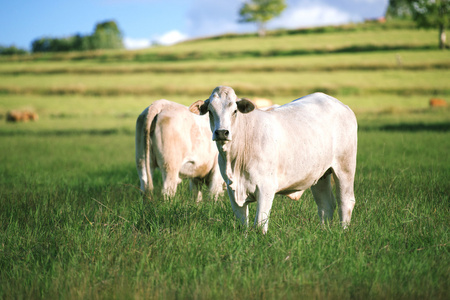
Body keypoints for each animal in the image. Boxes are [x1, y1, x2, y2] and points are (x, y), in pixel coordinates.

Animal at [190, 85, 358, 233]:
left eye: (235, 110)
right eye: (210, 111)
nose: (222, 132)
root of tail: (339, 104)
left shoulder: (266, 187)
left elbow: (259, 225)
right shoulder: (232, 189)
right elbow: (243, 224)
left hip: (345, 167)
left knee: (346, 201)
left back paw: (342, 231)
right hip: (320, 174)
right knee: (326, 205)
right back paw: (324, 231)